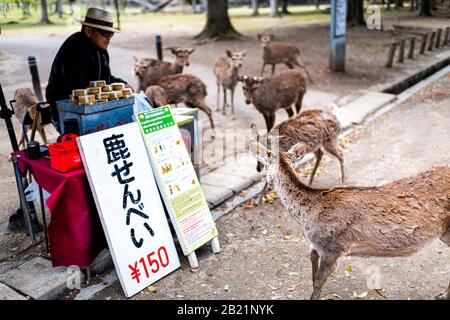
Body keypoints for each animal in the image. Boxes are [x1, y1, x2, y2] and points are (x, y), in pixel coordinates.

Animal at [251, 139, 450, 300]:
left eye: (263, 164)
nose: (259, 171)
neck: (304, 218)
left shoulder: (333, 248)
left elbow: (318, 281)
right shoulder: (319, 246)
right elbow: (312, 262)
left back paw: (442, 294)